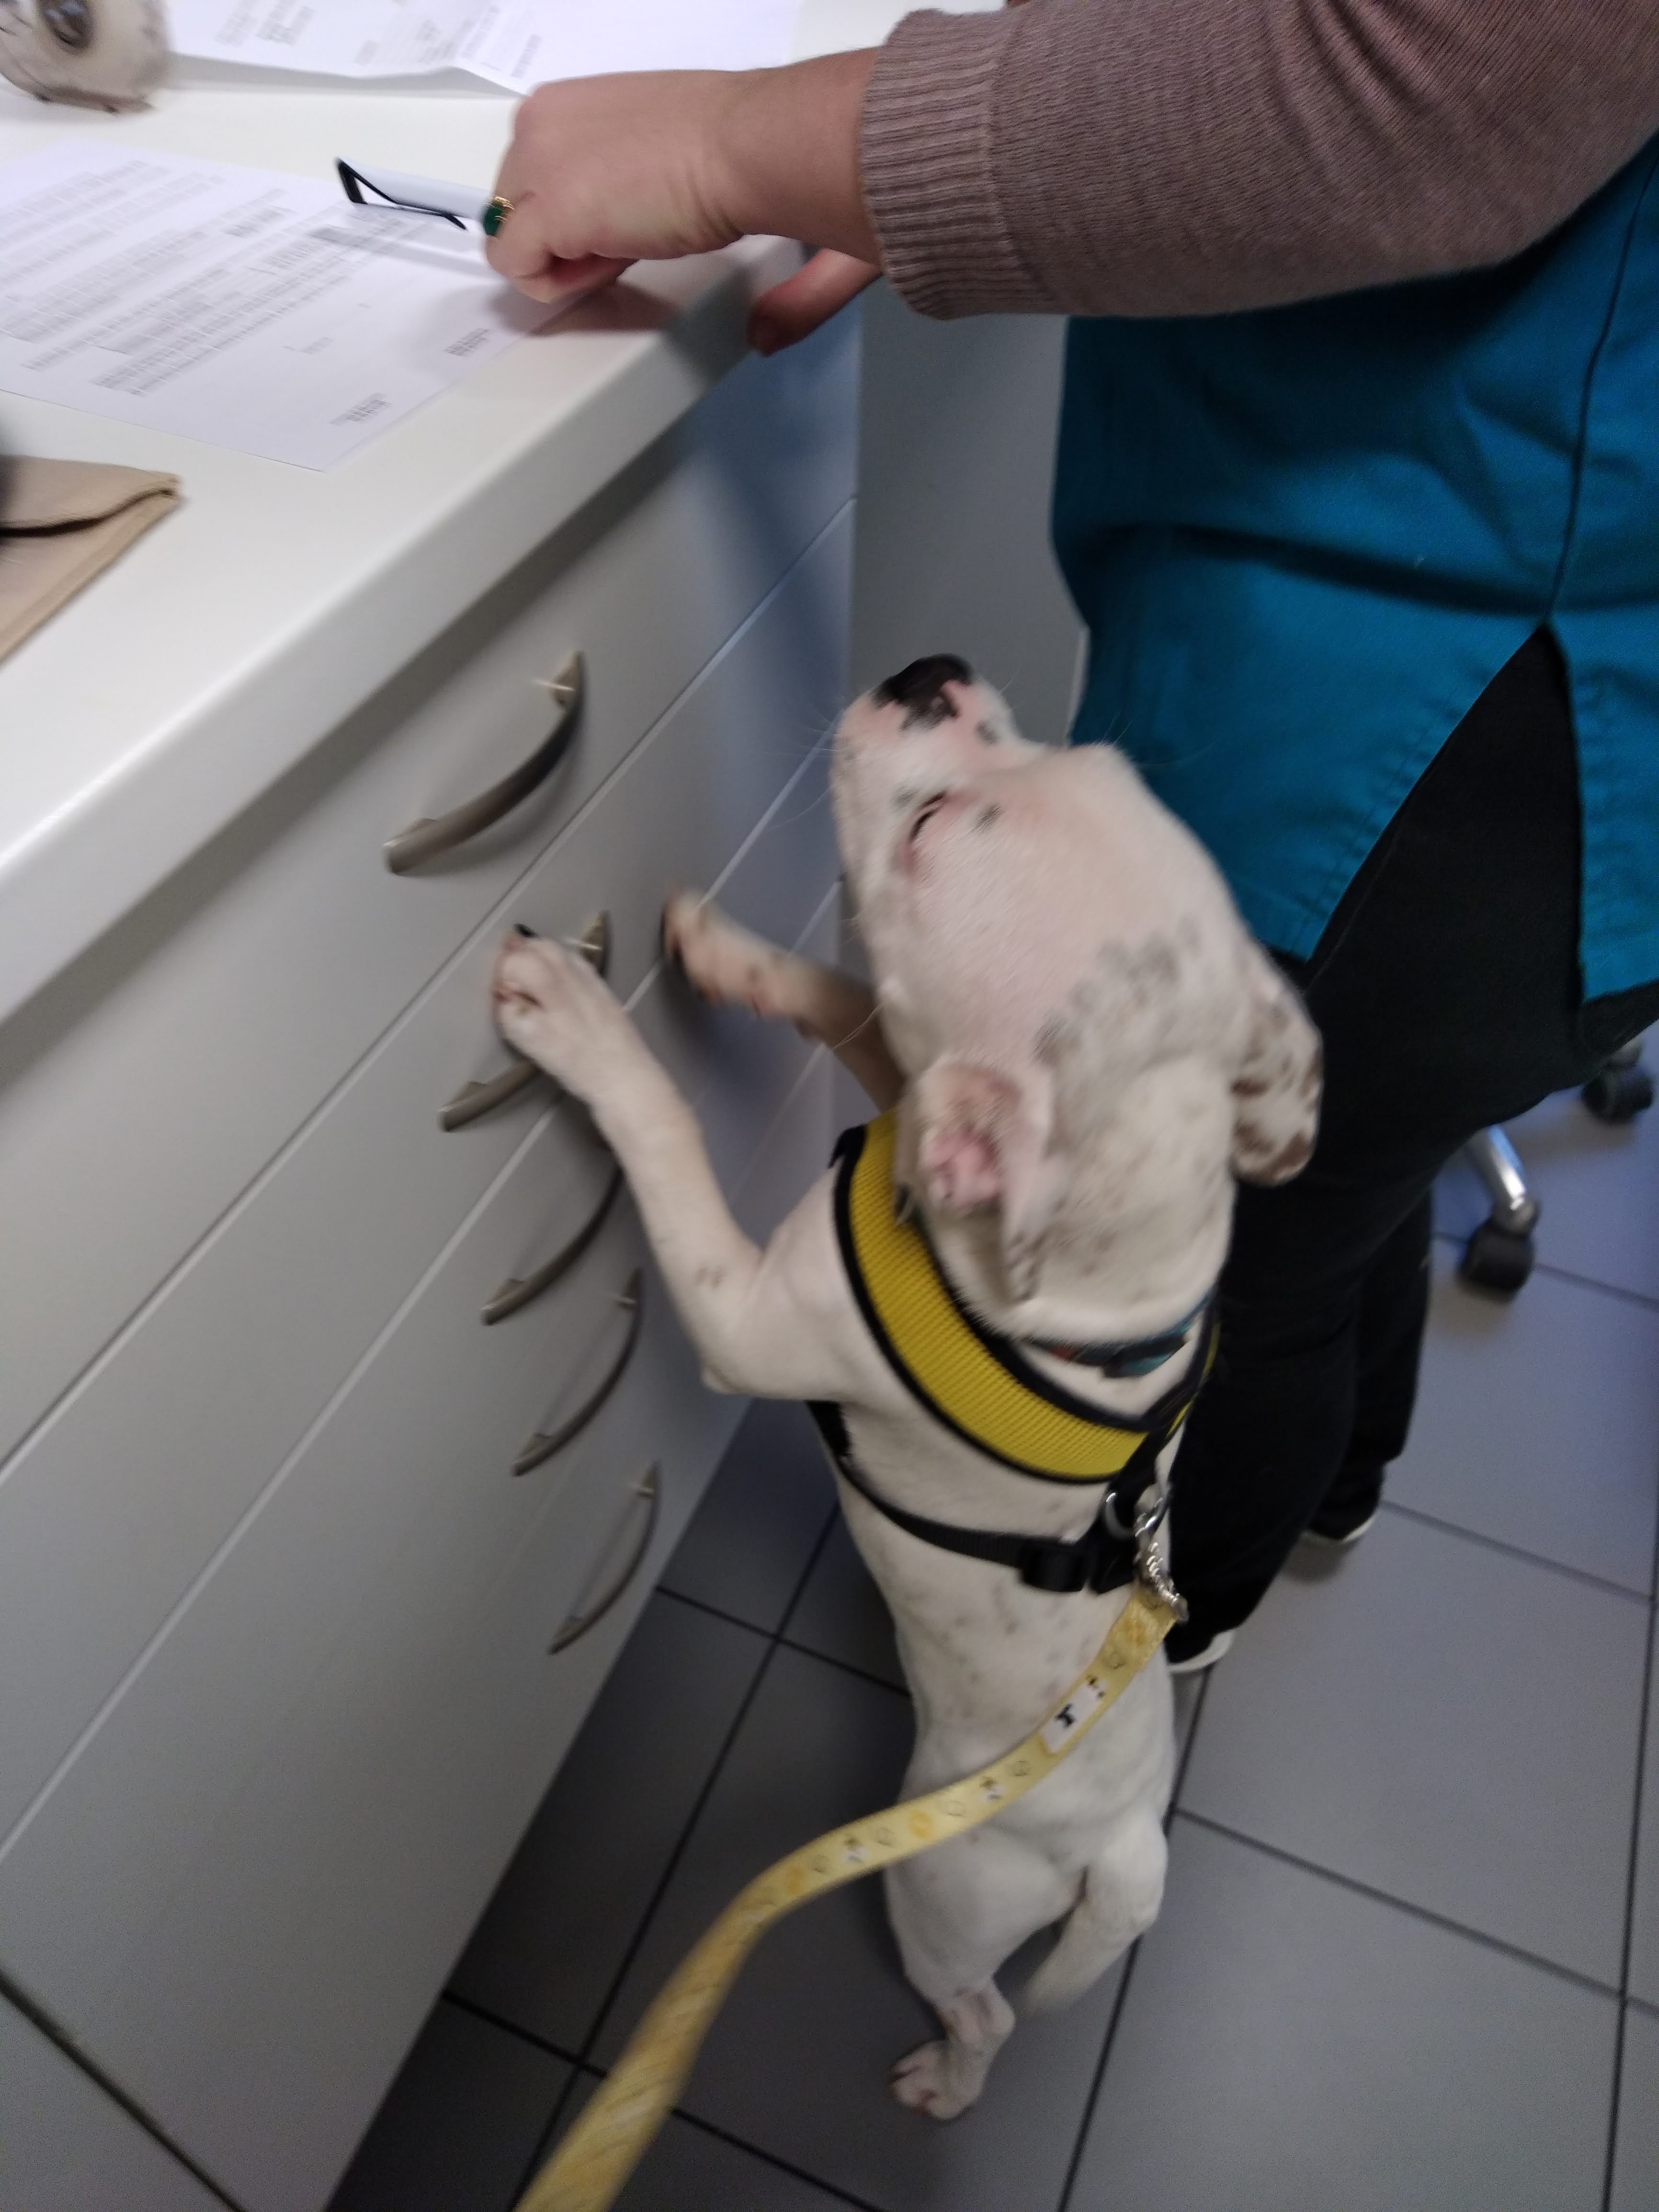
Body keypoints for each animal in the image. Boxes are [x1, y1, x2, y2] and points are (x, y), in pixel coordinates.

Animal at [492, 655, 1321, 2117]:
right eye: (1074, 750)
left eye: (932, 829)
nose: (926, 672)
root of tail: (1128, 1845)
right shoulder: (915, 1109)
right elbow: (847, 996)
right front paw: (724, 949)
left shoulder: (744, 1310)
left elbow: (664, 1126)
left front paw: (584, 1023)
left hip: (939, 1890)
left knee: (980, 2001)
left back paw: (945, 2078)